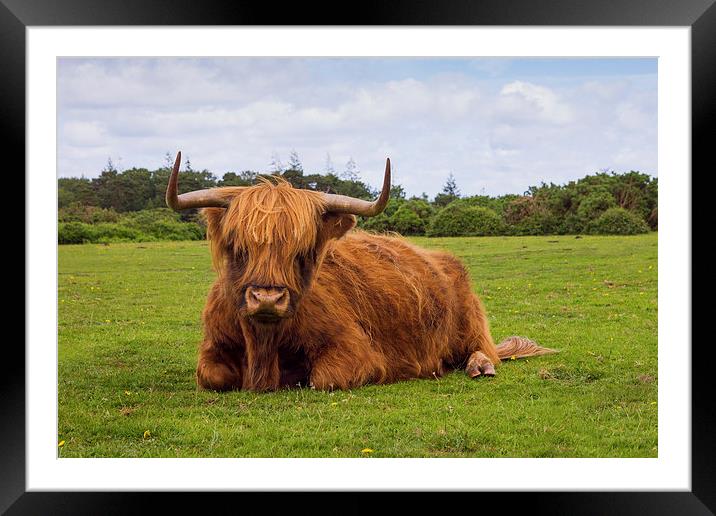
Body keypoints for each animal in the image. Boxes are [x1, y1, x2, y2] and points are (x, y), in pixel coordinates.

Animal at [166, 152, 552, 392]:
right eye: (238, 244)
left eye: (303, 250)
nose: (267, 298)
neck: (264, 343)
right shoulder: (214, 347)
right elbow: (212, 375)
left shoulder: (357, 352)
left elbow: (323, 378)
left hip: (470, 322)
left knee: (481, 348)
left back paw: (479, 366)